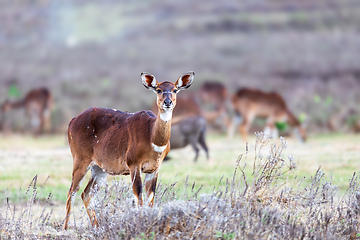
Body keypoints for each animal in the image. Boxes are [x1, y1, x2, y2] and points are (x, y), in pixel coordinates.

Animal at [64, 71, 194, 229]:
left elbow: (151, 198)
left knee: (86, 194)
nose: (168, 102)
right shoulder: (134, 164)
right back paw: (65, 229)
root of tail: (72, 121)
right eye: (158, 90)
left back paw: (97, 227)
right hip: (80, 160)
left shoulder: (154, 169)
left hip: (99, 168)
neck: (152, 135)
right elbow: (139, 197)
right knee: (71, 192)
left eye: (175, 90)